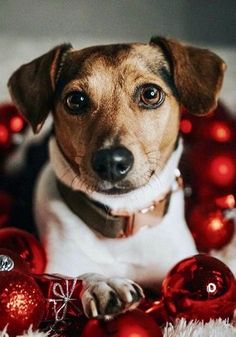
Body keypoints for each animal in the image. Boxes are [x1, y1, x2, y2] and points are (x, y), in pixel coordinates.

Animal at [6, 36, 225, 318]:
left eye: (150, 94)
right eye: (75, 100)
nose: (111, 161)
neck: (121, 217)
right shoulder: (56, 264)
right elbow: (75, 276)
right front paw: (104, 283)